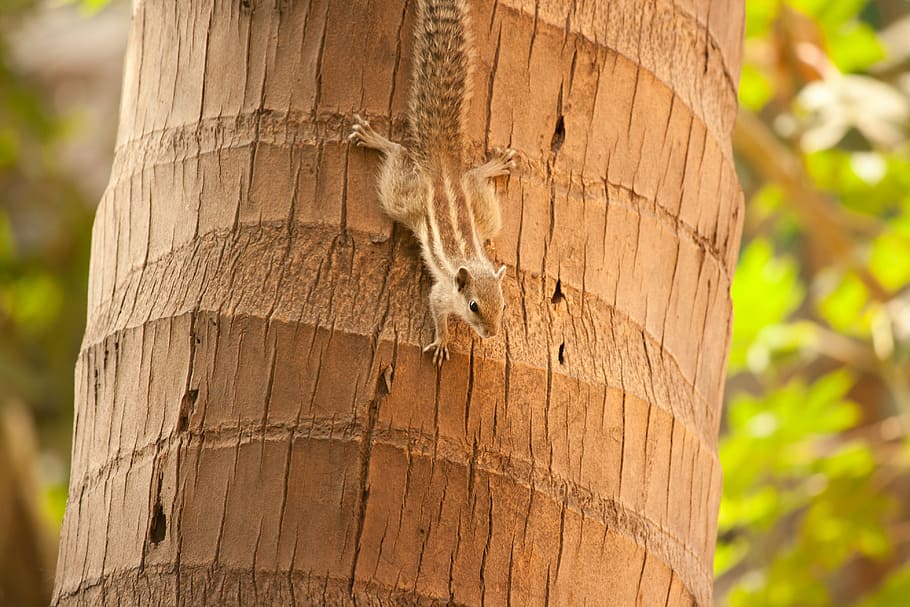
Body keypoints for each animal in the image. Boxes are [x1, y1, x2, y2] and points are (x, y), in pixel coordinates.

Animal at [348, 0, 515, 366]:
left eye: (504, 304)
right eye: (473, 306)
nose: (491, 333)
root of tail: (442, 171)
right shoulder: (441, 294)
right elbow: (438, 313)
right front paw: (442, 340)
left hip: (483, 208)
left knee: (473, 176)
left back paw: (495, 165)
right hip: (404, 198)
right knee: (398, 153)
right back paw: (375, 139)